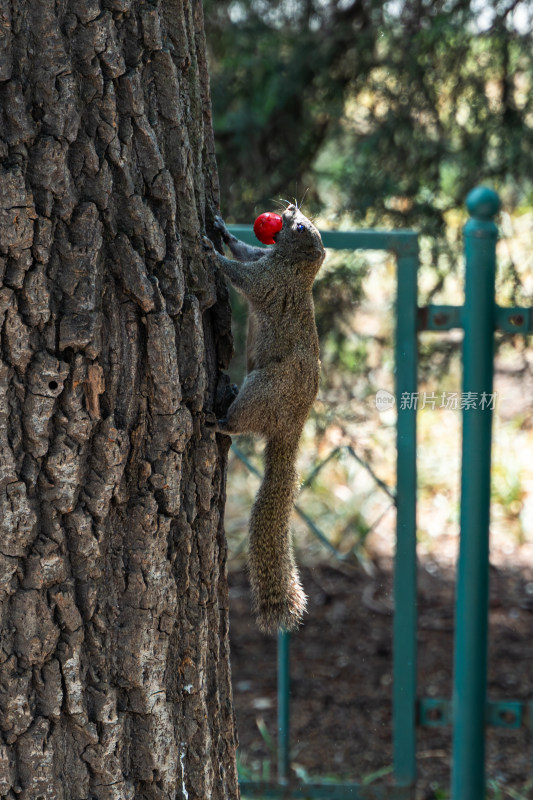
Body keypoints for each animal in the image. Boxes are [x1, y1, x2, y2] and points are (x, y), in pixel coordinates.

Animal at [208, 203, 324, 636]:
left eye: (301, 227)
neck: (290, 266)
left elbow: (241, 276)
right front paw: (222, 230)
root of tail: (291, 430)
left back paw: (217, 422)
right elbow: (243, 250)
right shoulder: (262, 258)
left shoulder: (267, 281)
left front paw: (210, 253)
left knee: (238, 425)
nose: (289, 208)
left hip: (262, 389)